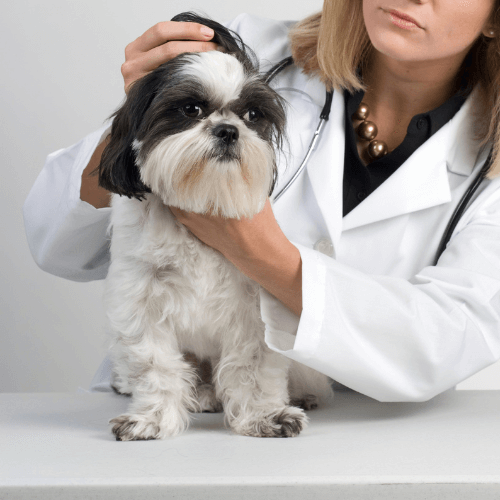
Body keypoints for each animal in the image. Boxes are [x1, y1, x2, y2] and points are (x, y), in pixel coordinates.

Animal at [95, 11, 334, 440]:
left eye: (253, 115)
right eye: (191, 109)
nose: (228, 129)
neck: (204, 199)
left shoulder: (257, 305)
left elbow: (255, 364)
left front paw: (264, 415)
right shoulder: (140, 300)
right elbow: (155, 364)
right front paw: (153, 419)